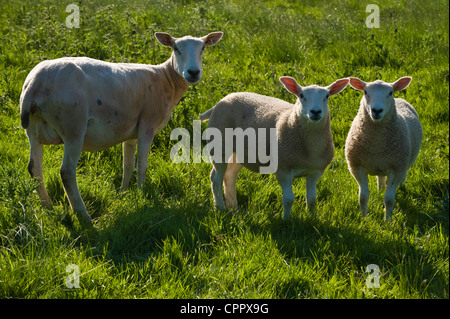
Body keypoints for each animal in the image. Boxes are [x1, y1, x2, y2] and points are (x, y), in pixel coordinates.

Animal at [19, 30, 223, 228]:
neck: (166, 79)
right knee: (67, 173)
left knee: (34, 168)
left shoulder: (131, 131)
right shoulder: (147, 125)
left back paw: (48, 208)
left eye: (203, 48)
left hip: (33, 130)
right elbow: (141, 165)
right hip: (73, 125)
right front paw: (142, 195)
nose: (193, 72)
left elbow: (128, 165)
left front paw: (123, 193)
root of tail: (34, 85)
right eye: (176, 48)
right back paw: (85, 218)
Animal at [200, 77, 352, 220]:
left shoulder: (315, 172)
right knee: (216, 178)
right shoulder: (283, 170)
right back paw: (220, 207)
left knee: (230, 175)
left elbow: (312, 199)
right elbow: (289, 199)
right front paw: (286, 220)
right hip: (219, 146)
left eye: (326, 96)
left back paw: (233, 208)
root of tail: (222, 100)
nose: (315, 111)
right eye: (301, 96)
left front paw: (312, 218)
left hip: (240, 152)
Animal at [344, 76, 422, 221]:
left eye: (390, 93)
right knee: (380, 178)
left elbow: (389, 199)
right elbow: (363, 197)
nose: (377, 110)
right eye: (365, 92)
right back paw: (380, 189)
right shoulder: (357, 167)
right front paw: (364, 218)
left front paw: (388, 221)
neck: (376, 145)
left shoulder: (397, 169)